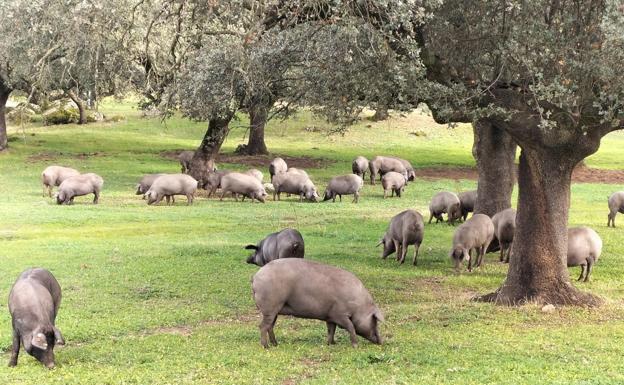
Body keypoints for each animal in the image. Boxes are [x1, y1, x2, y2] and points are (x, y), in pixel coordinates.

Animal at [251, 258, 382, 348]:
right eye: (374, 320)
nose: (382, 342)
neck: (358, 305)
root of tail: (255, 276)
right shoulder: (340, 314)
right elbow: (351, 327)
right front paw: (355, 346)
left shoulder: (331, 316)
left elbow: (331, 329)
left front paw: (331, 343)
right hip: (270, 307)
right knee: (262, 326)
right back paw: (266, 346)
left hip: (274, 310)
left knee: (270, 326)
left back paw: (275, 344)